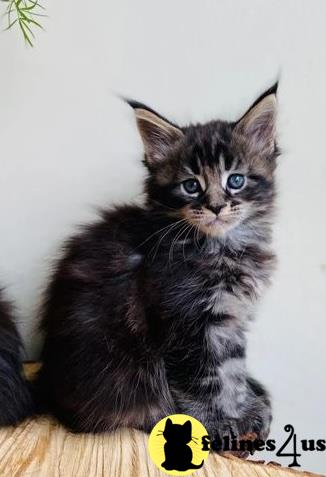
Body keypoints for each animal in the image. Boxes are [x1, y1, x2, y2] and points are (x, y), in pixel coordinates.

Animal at [37, 82, 278, 446]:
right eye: (191, 186)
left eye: (235, 180)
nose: (216, 207)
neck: (221, 247)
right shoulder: (180, 323)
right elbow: (202, 381)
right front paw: (216, 424)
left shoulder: (228, 321)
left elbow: (231, 371)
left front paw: (242, 410)